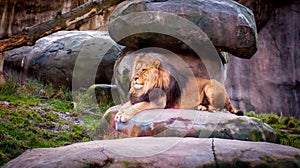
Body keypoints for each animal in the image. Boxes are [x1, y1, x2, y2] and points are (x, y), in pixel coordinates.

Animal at [113, 55, 243, 122]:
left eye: (144, 70)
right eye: (136, 69)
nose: (134, 78)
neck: (144, 88)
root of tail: (226, 92)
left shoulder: (158, 103)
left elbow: (136, 107)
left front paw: (124, 116)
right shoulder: (137, 98)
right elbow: (126, 105)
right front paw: (119, 114)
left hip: (210, 86)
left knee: (219, 108)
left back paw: (200, 107)